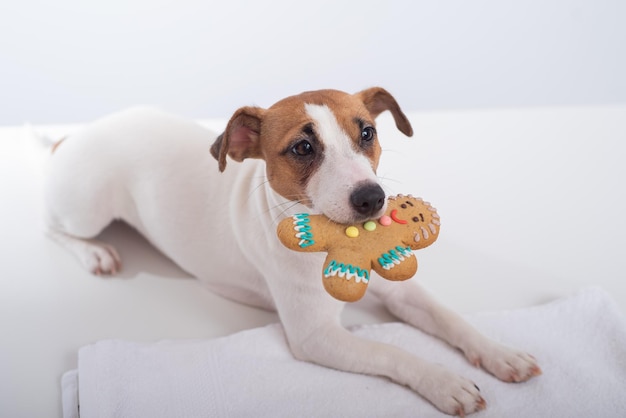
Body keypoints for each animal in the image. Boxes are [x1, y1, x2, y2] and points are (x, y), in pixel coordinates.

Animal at [46, 87, 540, 414]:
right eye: (303, 147)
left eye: (367, 133)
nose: (372, 198)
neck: (343, 241)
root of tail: (76, 136)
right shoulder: (316, 337)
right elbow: (391, 352)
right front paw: (443, 381)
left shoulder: (402, 289)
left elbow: (449, 317)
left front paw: (501, 353)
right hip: (86, 209)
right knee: (51, 226)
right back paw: (93, 253)